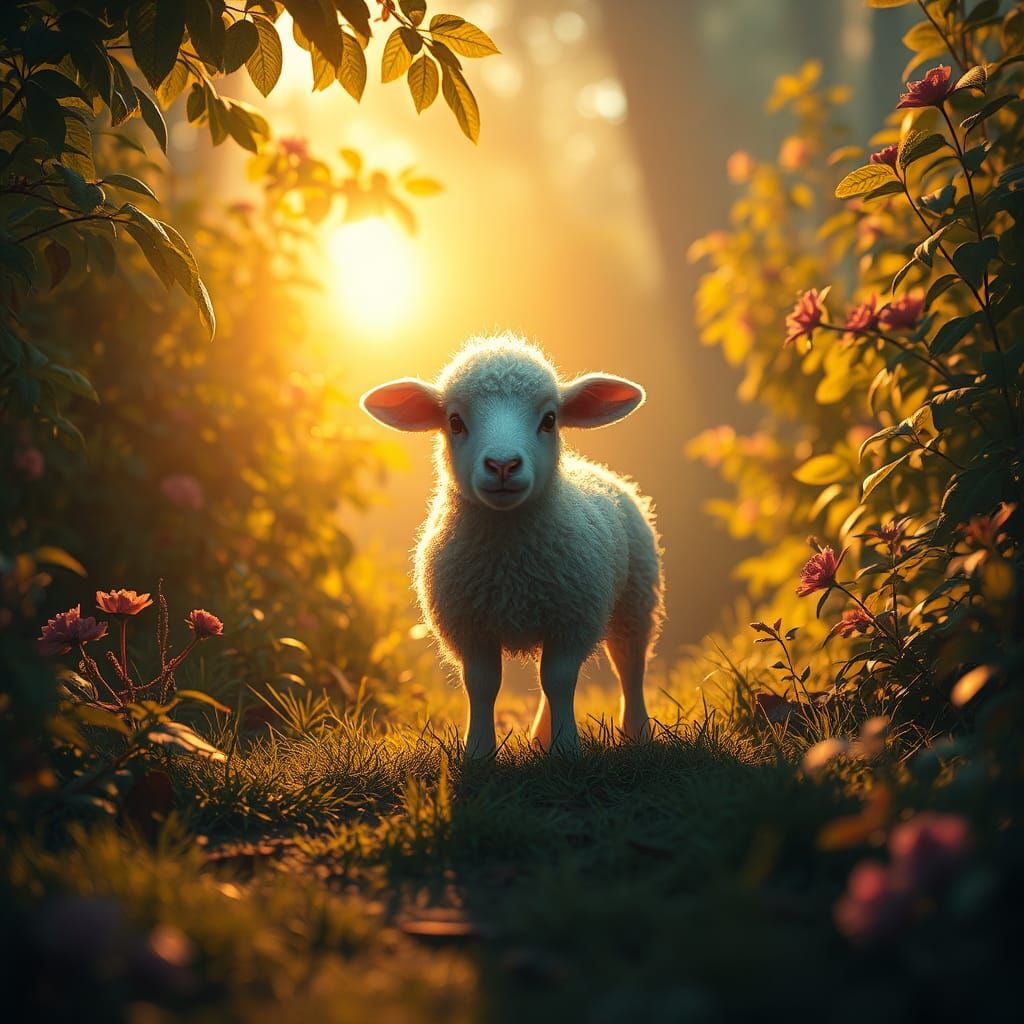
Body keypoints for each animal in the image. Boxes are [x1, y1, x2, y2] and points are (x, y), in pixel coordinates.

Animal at [360, 334, 664, 756]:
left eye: (549, 419)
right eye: (454, 422)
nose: (502, 465)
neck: (510, 565)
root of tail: (590, 467)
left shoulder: (572, 619)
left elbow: (560, 680)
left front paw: (566, 750)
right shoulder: (469, 627)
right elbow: (483, 685)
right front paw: (479, 753)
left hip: (636, 600)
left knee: (630, 666)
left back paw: (636, 733)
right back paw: (540, 736)